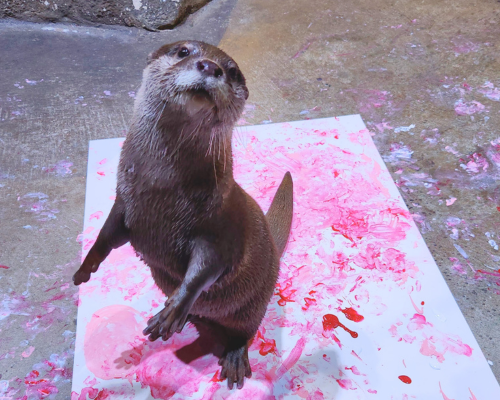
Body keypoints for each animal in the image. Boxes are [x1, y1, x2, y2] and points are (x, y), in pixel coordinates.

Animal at [73, 41, 292, 390]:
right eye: (183, 51)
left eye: (232, 72)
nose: (210, 67)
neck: (161, 190)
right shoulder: (125, 204)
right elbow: (108, 235)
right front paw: (86, 268)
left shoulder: (220, 226)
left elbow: (207, 267)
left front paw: (173, 309)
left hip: (255, 301)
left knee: (243, 330)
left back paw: (231, 356)